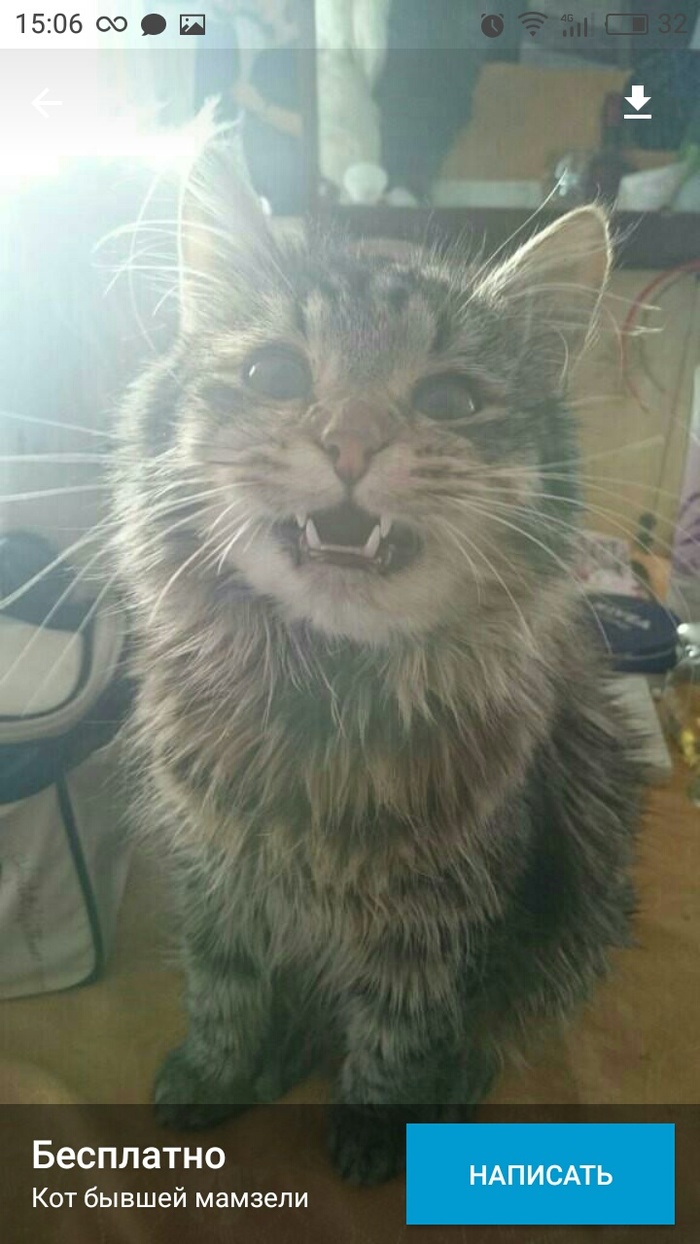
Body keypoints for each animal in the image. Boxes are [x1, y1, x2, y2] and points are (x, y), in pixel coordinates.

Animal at [113, 144, 642, 1186]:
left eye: (449, 401)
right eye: (273, 373)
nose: (350, 443)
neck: (323, 694)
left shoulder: (447, 918)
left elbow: (402, 1033)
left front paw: (375, 1126)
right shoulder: (215, 874)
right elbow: (224, 988)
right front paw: (219, 1070)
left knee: (503, 1020)